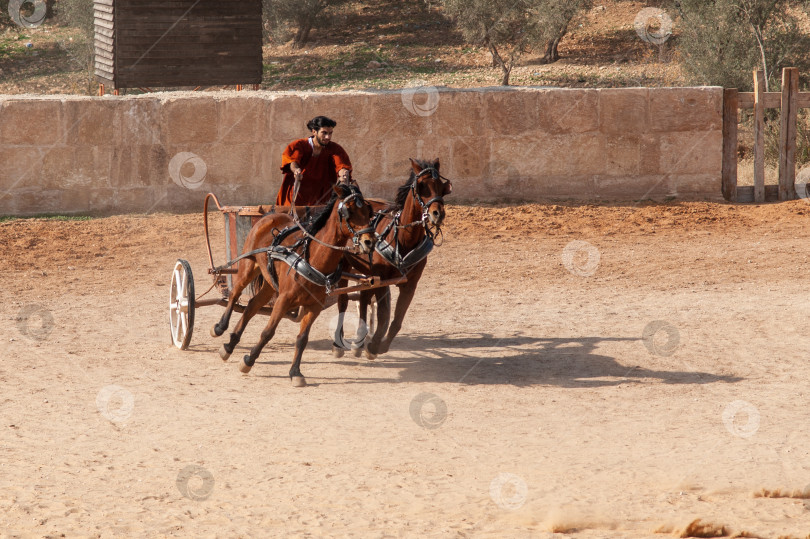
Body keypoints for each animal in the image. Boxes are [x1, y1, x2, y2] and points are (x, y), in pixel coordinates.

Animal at [208, 184, 372, 386]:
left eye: (368, 210)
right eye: (349, 210)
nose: (369, 241)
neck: (313, 260)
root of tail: (268, 217)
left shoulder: (314, 306)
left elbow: (302, 339)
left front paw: (295, 372)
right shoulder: (283, 300)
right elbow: (268, 332)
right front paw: (248, 360)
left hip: (270, 283)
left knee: (252, 306)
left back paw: (230, 345)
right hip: (248, 266)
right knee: (234, 295)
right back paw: (220, 328)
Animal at [332, 158, 452, 360]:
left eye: (442, 187)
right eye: (421, 186)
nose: (438, 214)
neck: (403, 238)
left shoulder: (410, 284)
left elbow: (396, 320)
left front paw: (379, 346)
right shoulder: (382, 280)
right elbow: (383, 316)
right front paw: (373, 346)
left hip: (367, 274)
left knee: (363, 298)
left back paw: (359, 341)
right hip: (344, 266)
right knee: (343, 301)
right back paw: (338, 344)